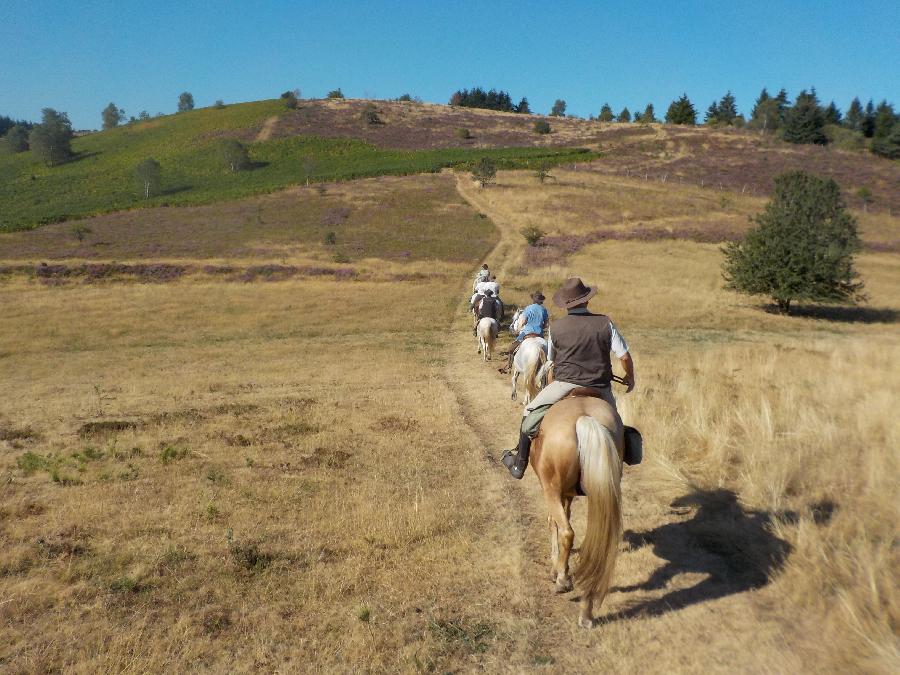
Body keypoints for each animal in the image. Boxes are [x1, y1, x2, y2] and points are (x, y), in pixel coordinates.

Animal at [532, 394, 624, 632]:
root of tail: (585, 418)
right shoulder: (569, 493)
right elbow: (566, 512)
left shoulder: (555, 491)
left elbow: (553, 522)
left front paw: (555, 569)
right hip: (603, 488)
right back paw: (587, 613)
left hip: (552, 488)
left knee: (567, 532)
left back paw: (562, 582)